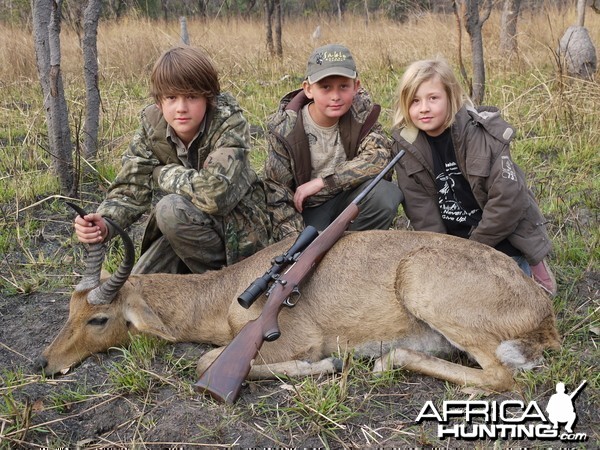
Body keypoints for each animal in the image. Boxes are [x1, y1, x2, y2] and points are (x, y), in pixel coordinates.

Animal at [38, 220, 564, 392]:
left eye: (99, 317)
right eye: (69, 310)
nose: (46, 363)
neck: (228, 292)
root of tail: (543, 311)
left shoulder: (291, 338)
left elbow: (207, 362)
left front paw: (324, 364)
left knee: (502, 377)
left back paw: (381, 360)